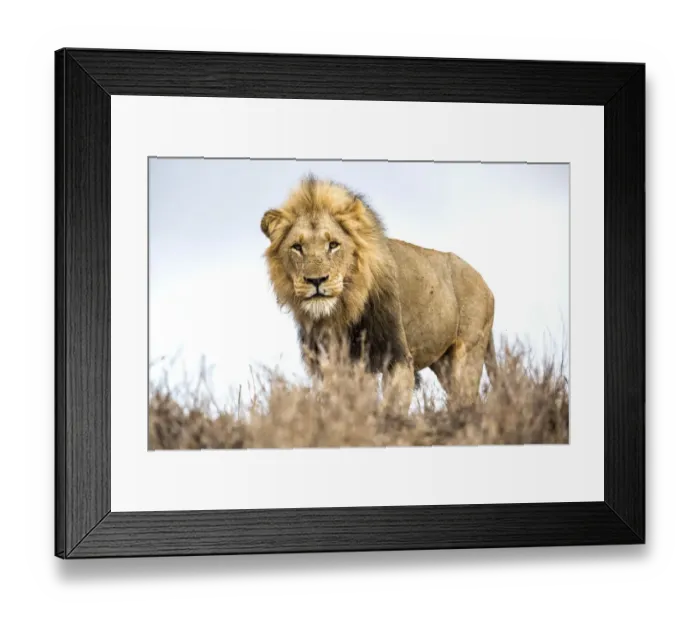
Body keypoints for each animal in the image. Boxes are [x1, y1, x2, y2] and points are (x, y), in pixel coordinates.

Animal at [260, 174, 498, 411]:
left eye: (333, 245)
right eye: (297, 247)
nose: (316, 280)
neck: (340, 313)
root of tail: (486, 284)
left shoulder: (396, 356)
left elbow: (391, 407)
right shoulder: (332, 364)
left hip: (467, 353)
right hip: (443, 361)